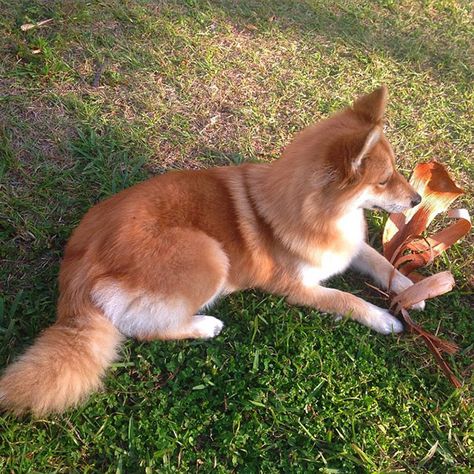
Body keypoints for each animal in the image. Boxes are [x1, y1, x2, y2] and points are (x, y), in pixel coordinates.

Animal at [0, 85, 422, 414]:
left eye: (395, 173)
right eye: (384, 180)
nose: (418, 199)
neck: (321, 212)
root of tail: (79, 263)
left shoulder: (351, 248)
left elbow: (380, 261)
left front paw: (411, 290)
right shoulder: (296, 288)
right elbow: (345, 299)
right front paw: (383, 317)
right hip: (209, 255)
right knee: (143, 328)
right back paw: (204, 325)